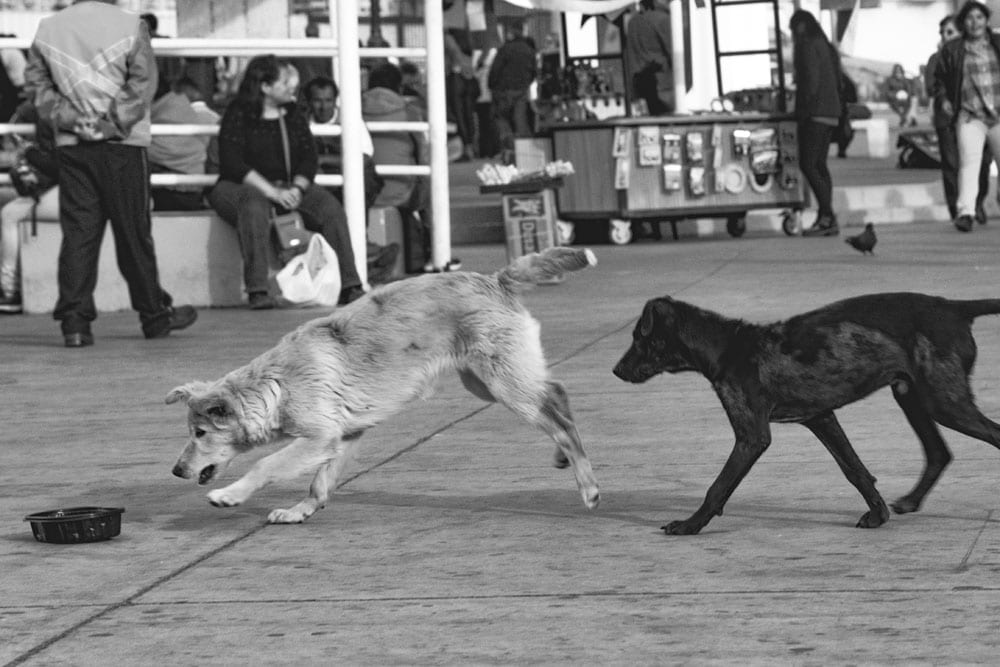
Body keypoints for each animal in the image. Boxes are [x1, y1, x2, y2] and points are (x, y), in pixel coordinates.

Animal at [168, 248, 600, 524]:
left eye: (200, 432)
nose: (175, 470)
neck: (277, 384)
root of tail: (496, 280)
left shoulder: (319, 437)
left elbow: (266, 464)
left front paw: (230, 495)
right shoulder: (344, 435)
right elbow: (319, 483)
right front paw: (300, 511)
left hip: (503, 384)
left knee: (561, 423)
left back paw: (588, 487)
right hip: (487, 383)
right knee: (556, 392)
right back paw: (563, 457)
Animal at [612, 294, 1000, 536]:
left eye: (638, 337)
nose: (615, 370)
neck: (726, 346)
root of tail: (953, 307)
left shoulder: (752, 436)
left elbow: (717, 486)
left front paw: (690, 525)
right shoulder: (821, 418)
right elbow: (854, 470)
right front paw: (878, 515)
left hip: (944, 402)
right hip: (913, 396)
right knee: (938, 452)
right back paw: (911, 500)